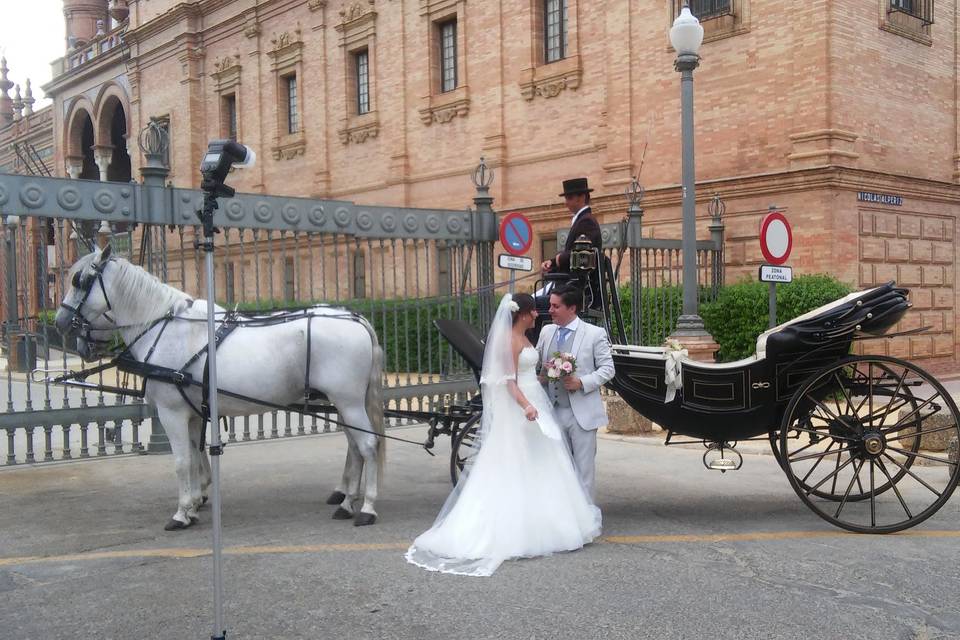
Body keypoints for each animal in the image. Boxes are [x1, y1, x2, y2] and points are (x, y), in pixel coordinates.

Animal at [54, 245, 384, 528]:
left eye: (80, 281)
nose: (60, 322)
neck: (167, 328)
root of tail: (356, 319)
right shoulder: (192, 413)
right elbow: (194, 458)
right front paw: (193, 503)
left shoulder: (172, 413)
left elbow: (182, 461)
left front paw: (181, 513)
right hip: (343, 403)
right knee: (355, 447)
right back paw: (347, 502)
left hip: (348, 402)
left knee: (367, 446)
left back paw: (366, 507)